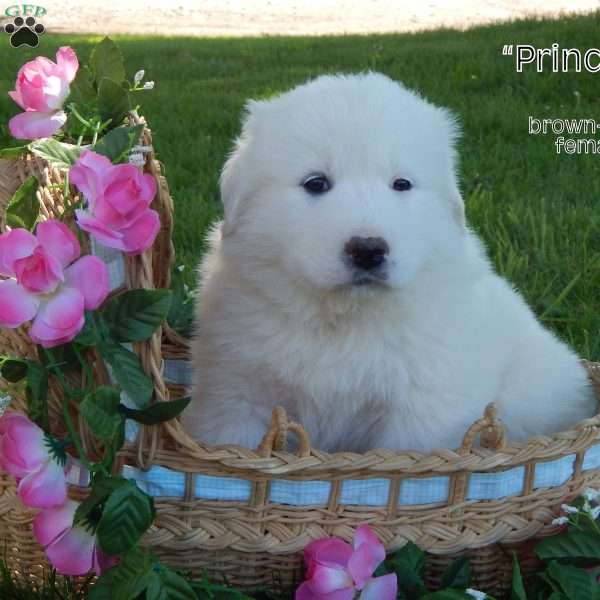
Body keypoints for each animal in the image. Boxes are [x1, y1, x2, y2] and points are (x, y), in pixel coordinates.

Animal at [183, 72, 596, 452]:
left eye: (401, 184)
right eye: (316, 183)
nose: (368, 250)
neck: (346, 320)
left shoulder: (422, 409)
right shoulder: (235, 395)